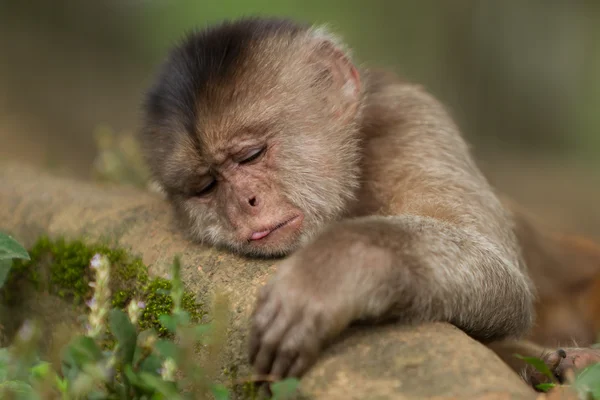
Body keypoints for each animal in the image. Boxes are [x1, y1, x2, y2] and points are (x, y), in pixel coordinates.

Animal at [139, 17, 600, 390]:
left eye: (251, 154)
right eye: (206, 186)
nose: (244, 204)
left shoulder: (409, 118)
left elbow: (503, 277)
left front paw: (339, 266)